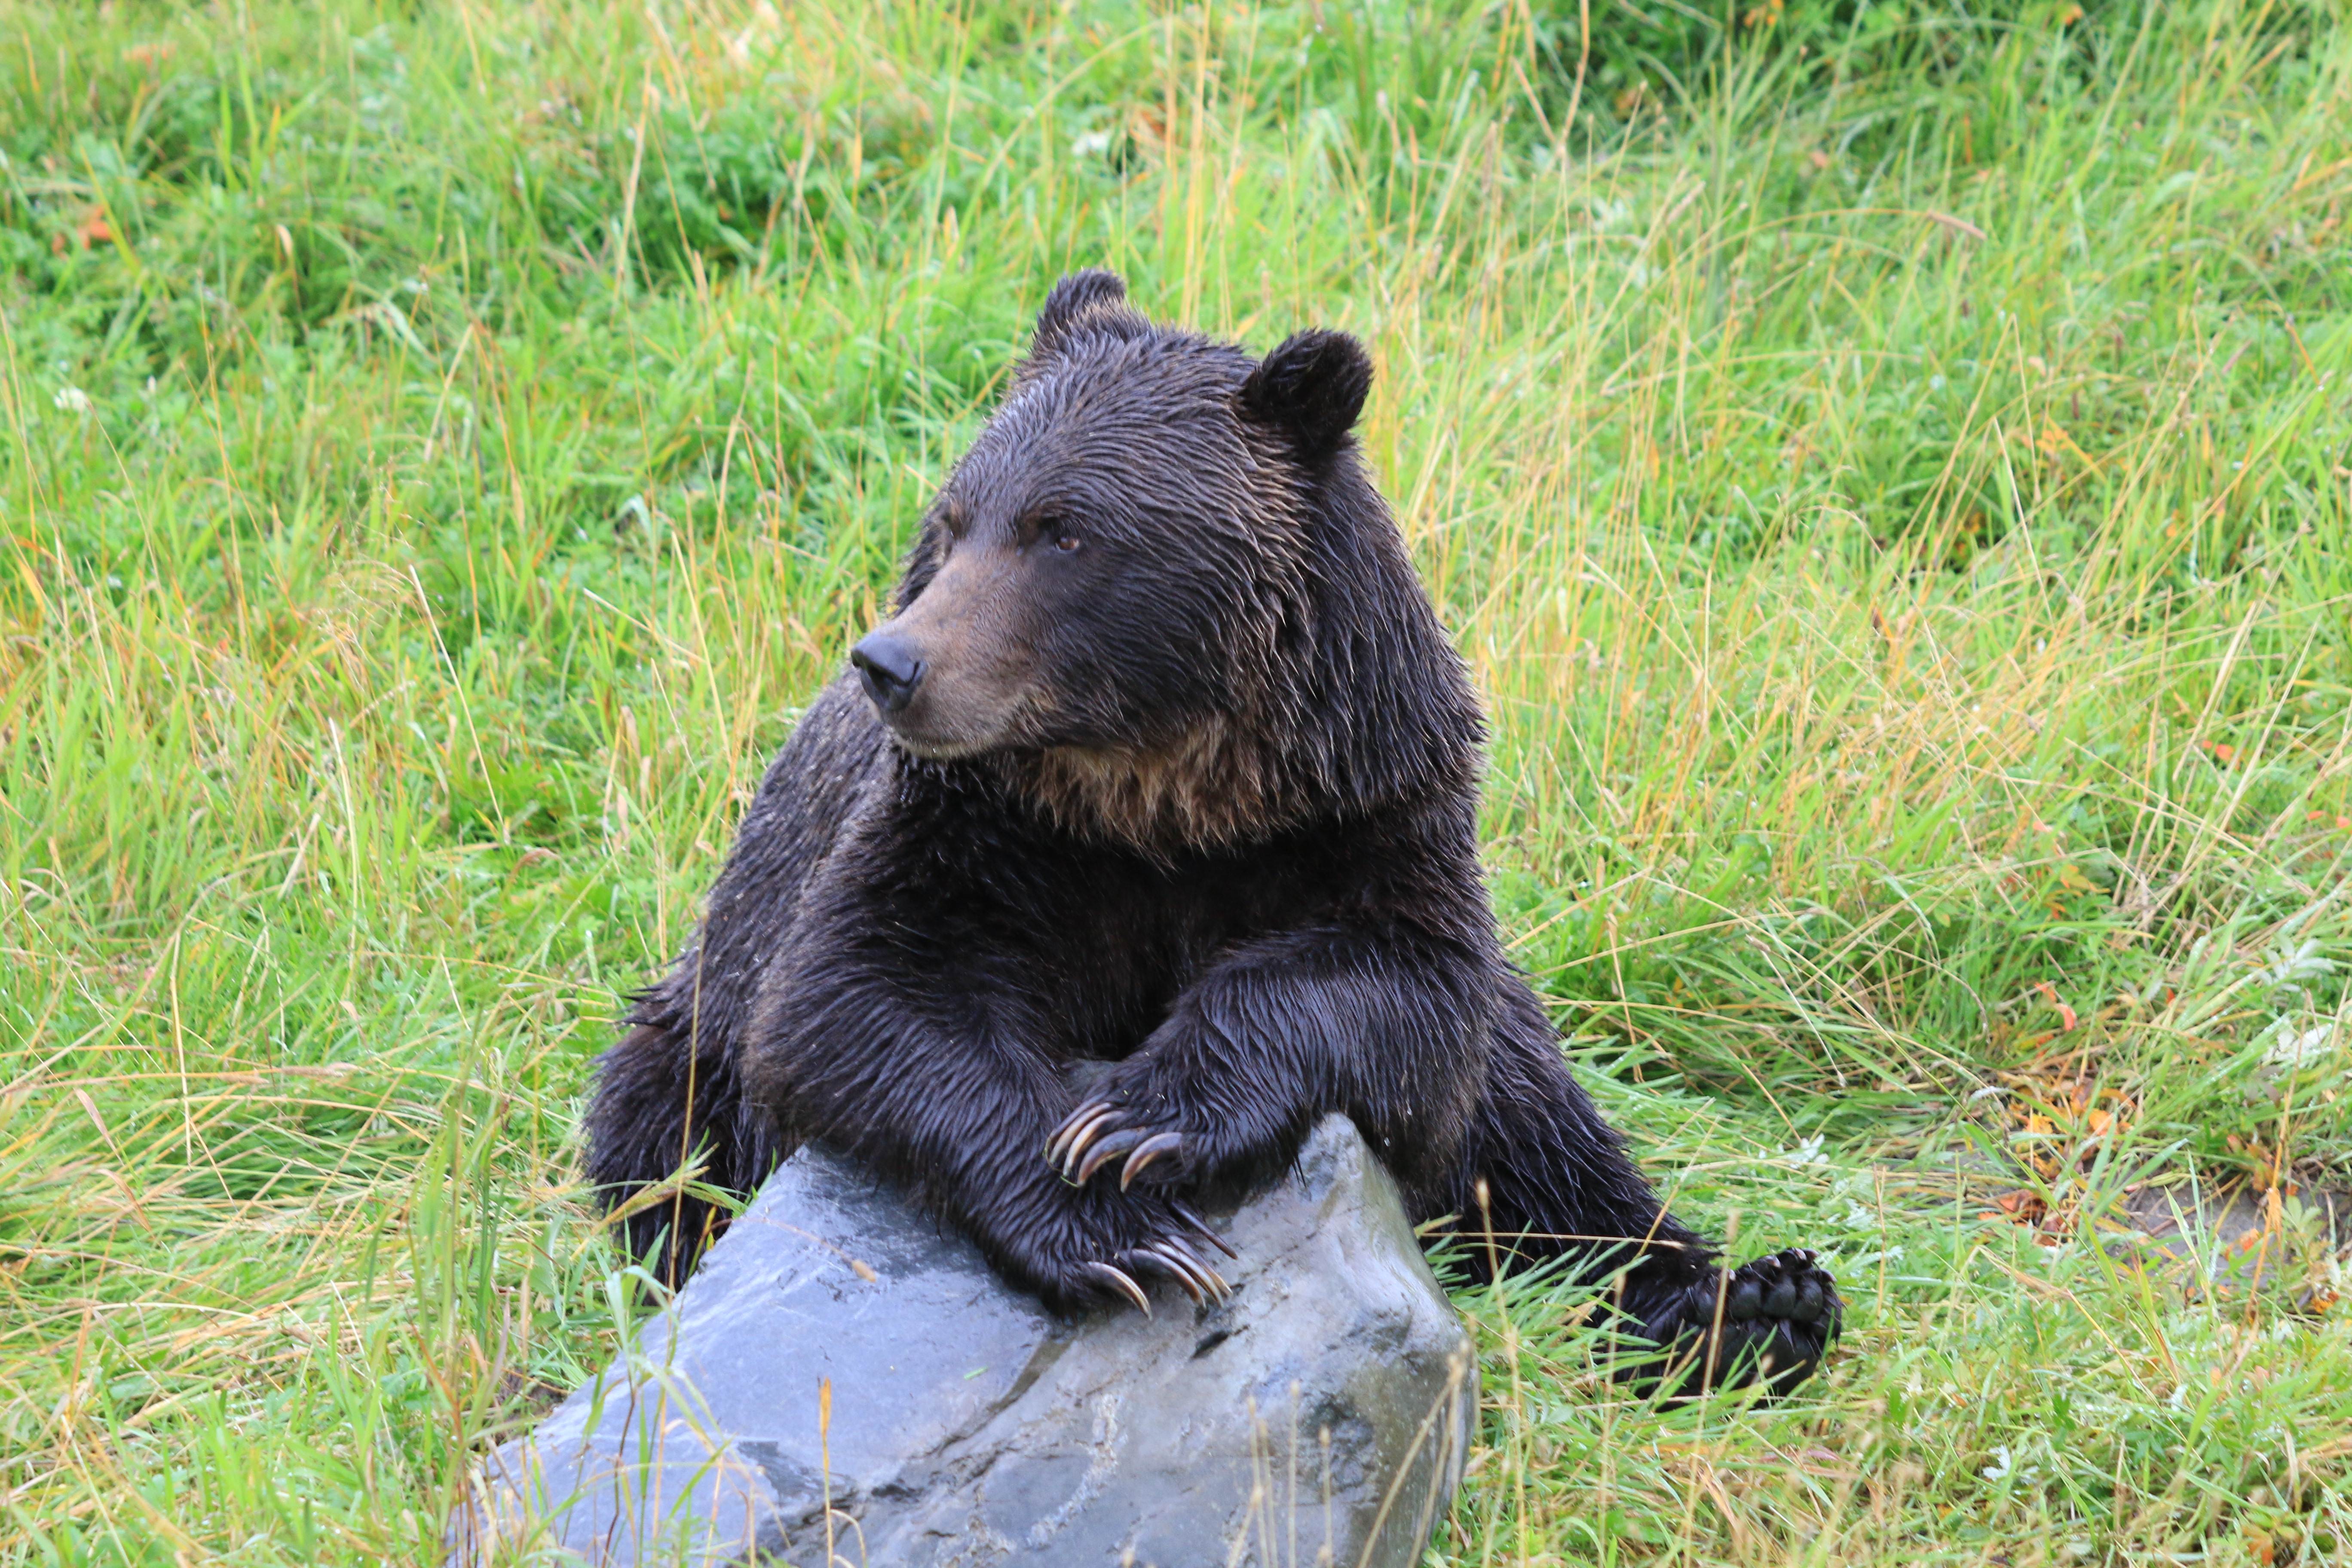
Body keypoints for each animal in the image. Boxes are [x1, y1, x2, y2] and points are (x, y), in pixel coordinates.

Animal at [584, 270, 1840, 1393]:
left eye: (1062, 531)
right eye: (954, 518)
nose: (895, 663)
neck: (1160, 787)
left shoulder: (1366, 818)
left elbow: (1404, 998)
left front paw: (1142, 1118)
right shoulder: (975, 839)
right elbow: (857, 997)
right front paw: (1115, 1223)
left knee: (1541, 1132)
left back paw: (1752, 1304)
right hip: (688, 1026)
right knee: (663, 1144)